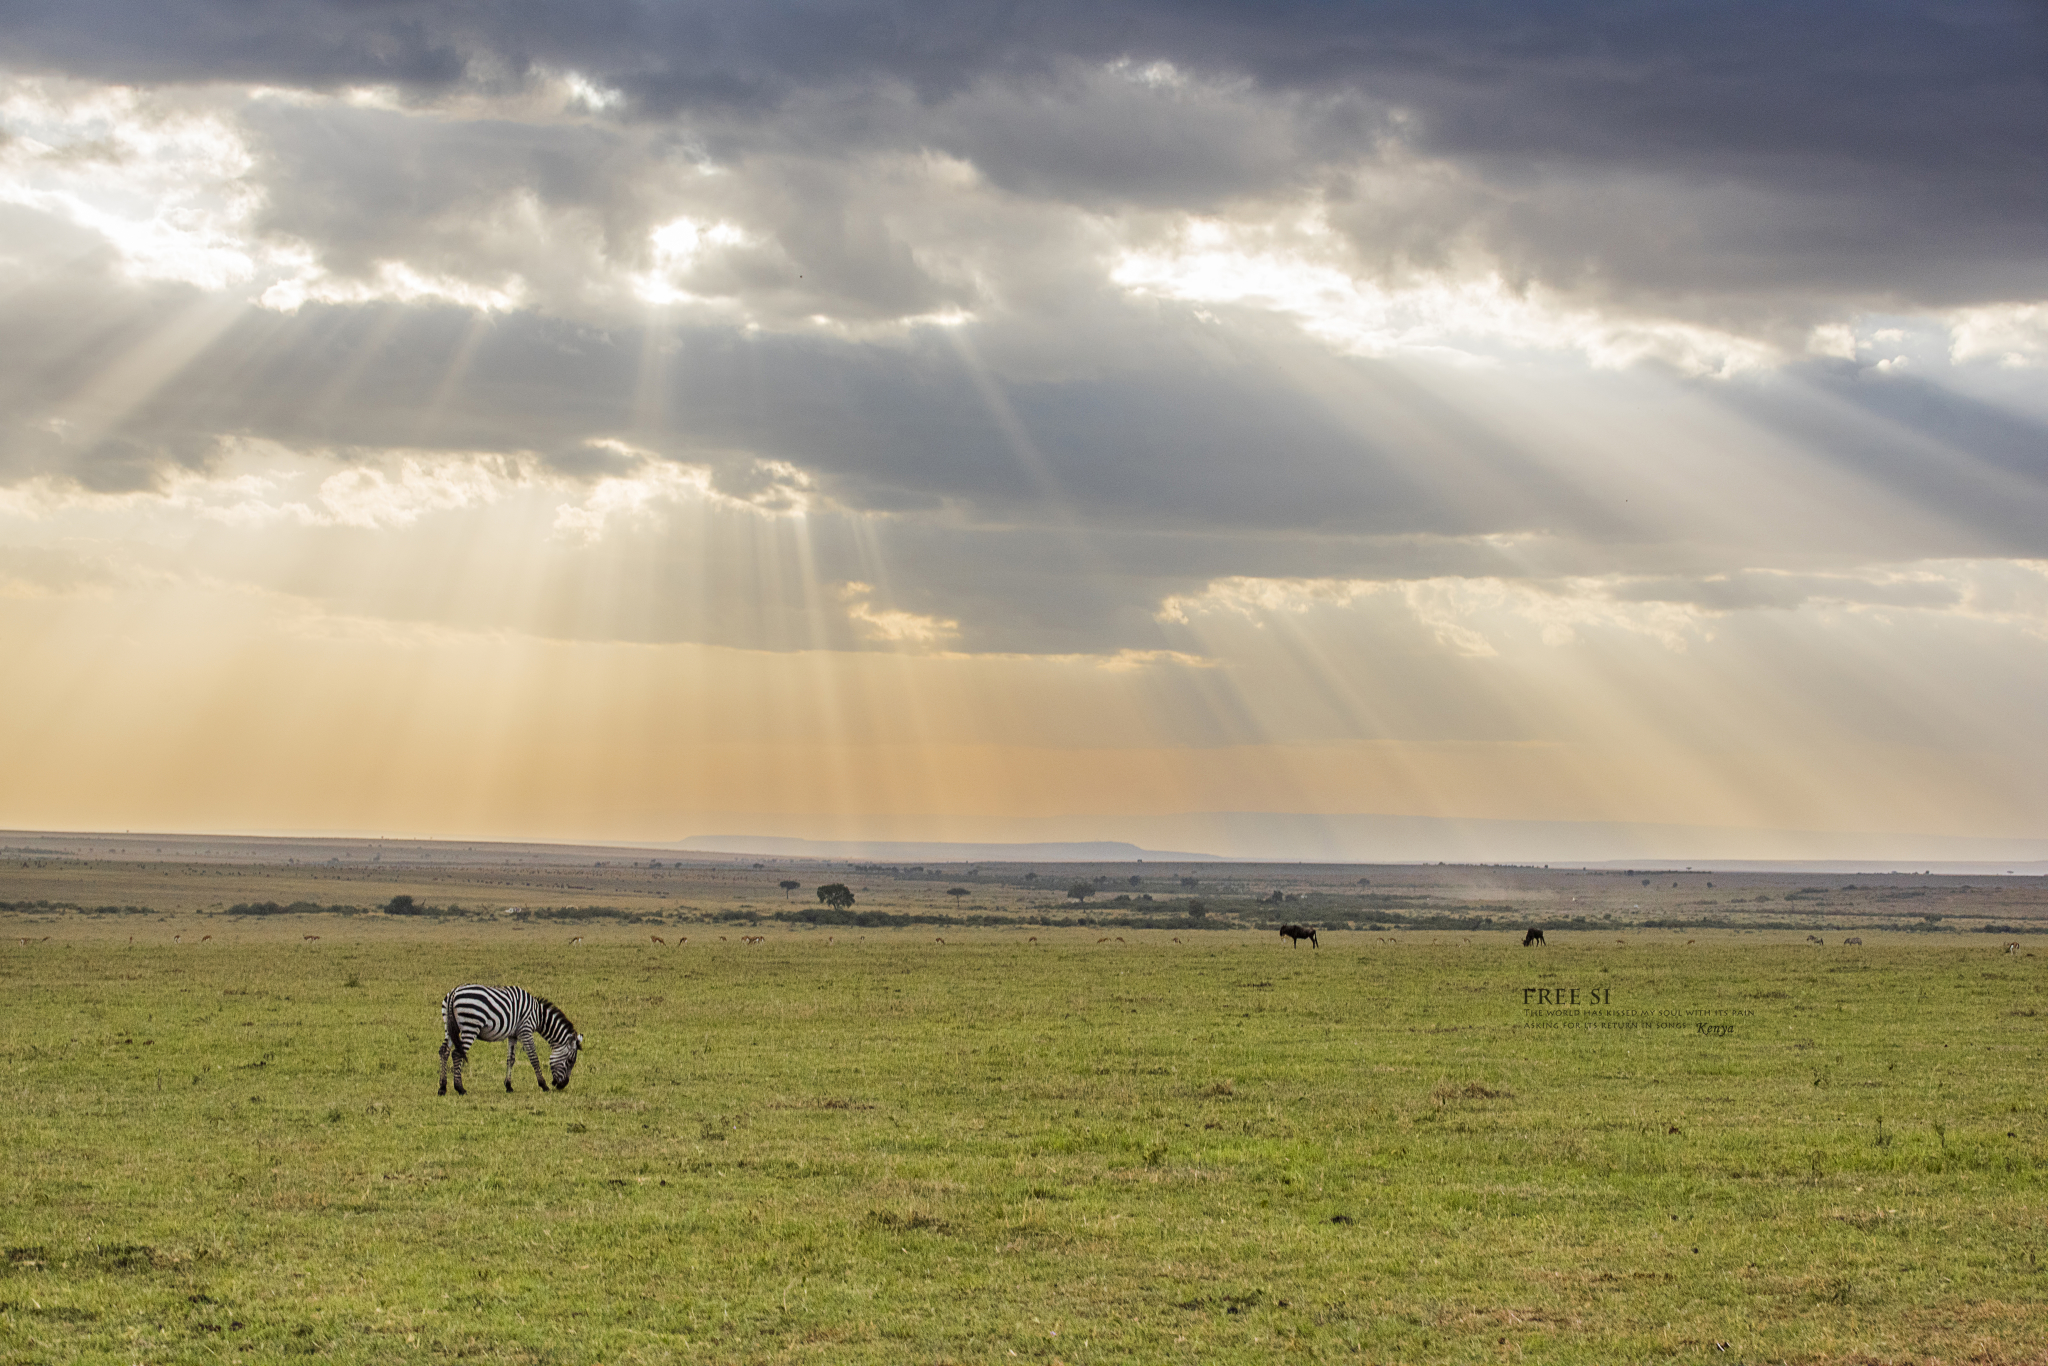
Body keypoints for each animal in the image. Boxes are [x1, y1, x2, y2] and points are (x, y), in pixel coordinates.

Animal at [440, 983, 585, 1097]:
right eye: (570, 1061)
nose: (562, 1086)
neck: (538, 1016)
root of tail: (454, 992)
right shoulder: (525, 1030)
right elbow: (533, 1057)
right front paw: (543, 1085)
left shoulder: (513, 1035)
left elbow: (511, 1059)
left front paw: (508, 1086)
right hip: (470, 1026)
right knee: (457, 1054)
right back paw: (460, 1088)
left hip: (449, 1027)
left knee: (444, 1052)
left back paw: (442, 1087)